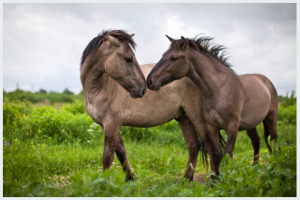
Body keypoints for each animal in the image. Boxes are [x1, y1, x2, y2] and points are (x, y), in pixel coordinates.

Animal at [79, 29, 211, 181]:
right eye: (129, 59)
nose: (142, 89)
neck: (99, 88)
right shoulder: (105, 124)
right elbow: (120, 151)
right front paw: (130, 177)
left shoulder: (112, 123)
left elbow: (108, 156)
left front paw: (105, 182)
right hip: (184, 117)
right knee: (194, 145)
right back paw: (186, 178)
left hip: (196, 116)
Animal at [146, 35, 278, 176]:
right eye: (163, 55)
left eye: (174, 57)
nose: (150, 81)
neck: (219, 89)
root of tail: (267, 82)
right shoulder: (211, 127)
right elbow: (216, 155)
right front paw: (216, 179)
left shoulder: (232, 127)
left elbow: (227, 156)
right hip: (250, 124)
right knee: (256, 141)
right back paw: (254, 167)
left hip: (271, 118)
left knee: (273, 140)